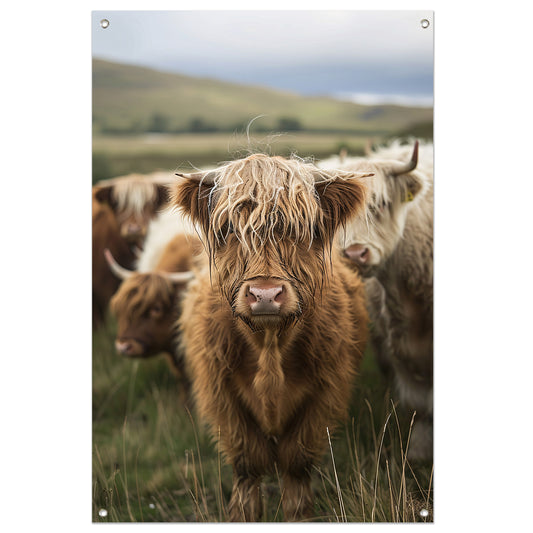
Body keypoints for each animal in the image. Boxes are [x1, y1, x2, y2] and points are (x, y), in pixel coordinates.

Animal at [172, 154, 372, 520]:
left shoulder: (325, 393)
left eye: (301, 230)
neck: (269, 345)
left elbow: (296, 463)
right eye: (229, 230)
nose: (265, 294)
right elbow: (248, 465)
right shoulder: (222, 396)